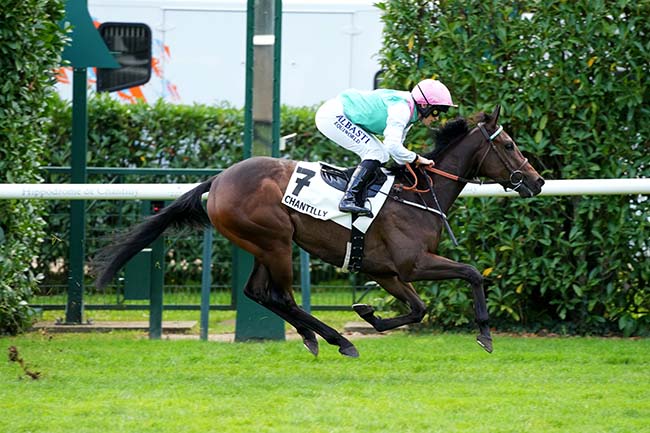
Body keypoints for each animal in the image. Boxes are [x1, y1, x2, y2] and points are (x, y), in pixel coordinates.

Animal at [95, 104, 540, 354]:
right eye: (509, 145)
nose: (536, 181)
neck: (418, 195)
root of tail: (218, 180)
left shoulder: (385, 271)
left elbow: (417, 309)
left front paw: (369, 314)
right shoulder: (413, 263)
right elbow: (471, 273)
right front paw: (485, 334)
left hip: (261, 245)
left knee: (258, 293)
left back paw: (314, 337)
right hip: (275, 241)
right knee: (282, 297)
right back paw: (336, 341)